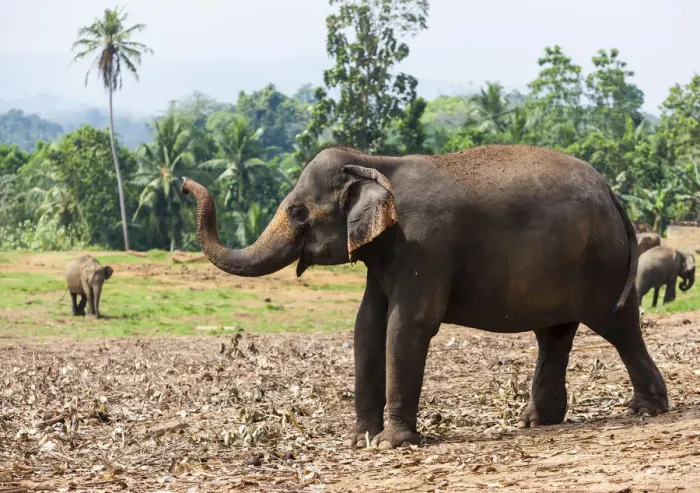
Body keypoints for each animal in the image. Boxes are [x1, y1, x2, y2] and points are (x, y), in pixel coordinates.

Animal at [181, 144, 668, 449]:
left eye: (298, 212)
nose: (185, 184)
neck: (376, 161)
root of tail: (611, 193)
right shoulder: (385, 254)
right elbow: (367, 326)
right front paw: (359, 441)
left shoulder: (426, 244)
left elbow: (407, 325)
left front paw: (391, 445)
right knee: (554, 335)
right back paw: (536, 421)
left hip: (604, 262)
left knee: (618, 326)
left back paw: (647, 411)